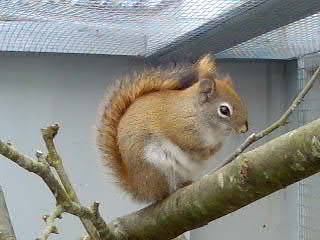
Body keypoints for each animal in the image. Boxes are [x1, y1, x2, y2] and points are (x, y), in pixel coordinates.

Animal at [96, 55, 249, 203]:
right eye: (224, 110)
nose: (244, 129)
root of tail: (140, 189)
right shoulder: (179, 127)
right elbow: (188, 143)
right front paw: (205, 152)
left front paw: (213, 150)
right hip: (157, 166)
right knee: (163, 192)